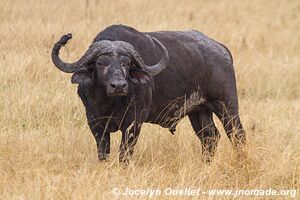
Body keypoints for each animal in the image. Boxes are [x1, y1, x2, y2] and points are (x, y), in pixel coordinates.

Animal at [51, 24, 244, 163]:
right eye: (100, 63)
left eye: (126, 63)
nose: (118, 85)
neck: (110, 103)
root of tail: (221, 49)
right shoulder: (95, 122)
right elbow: (103, 152)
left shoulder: (133, 123)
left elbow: (124, 154)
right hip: (198, 111)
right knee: (210, 137)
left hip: (226, 105)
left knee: (237, 135)